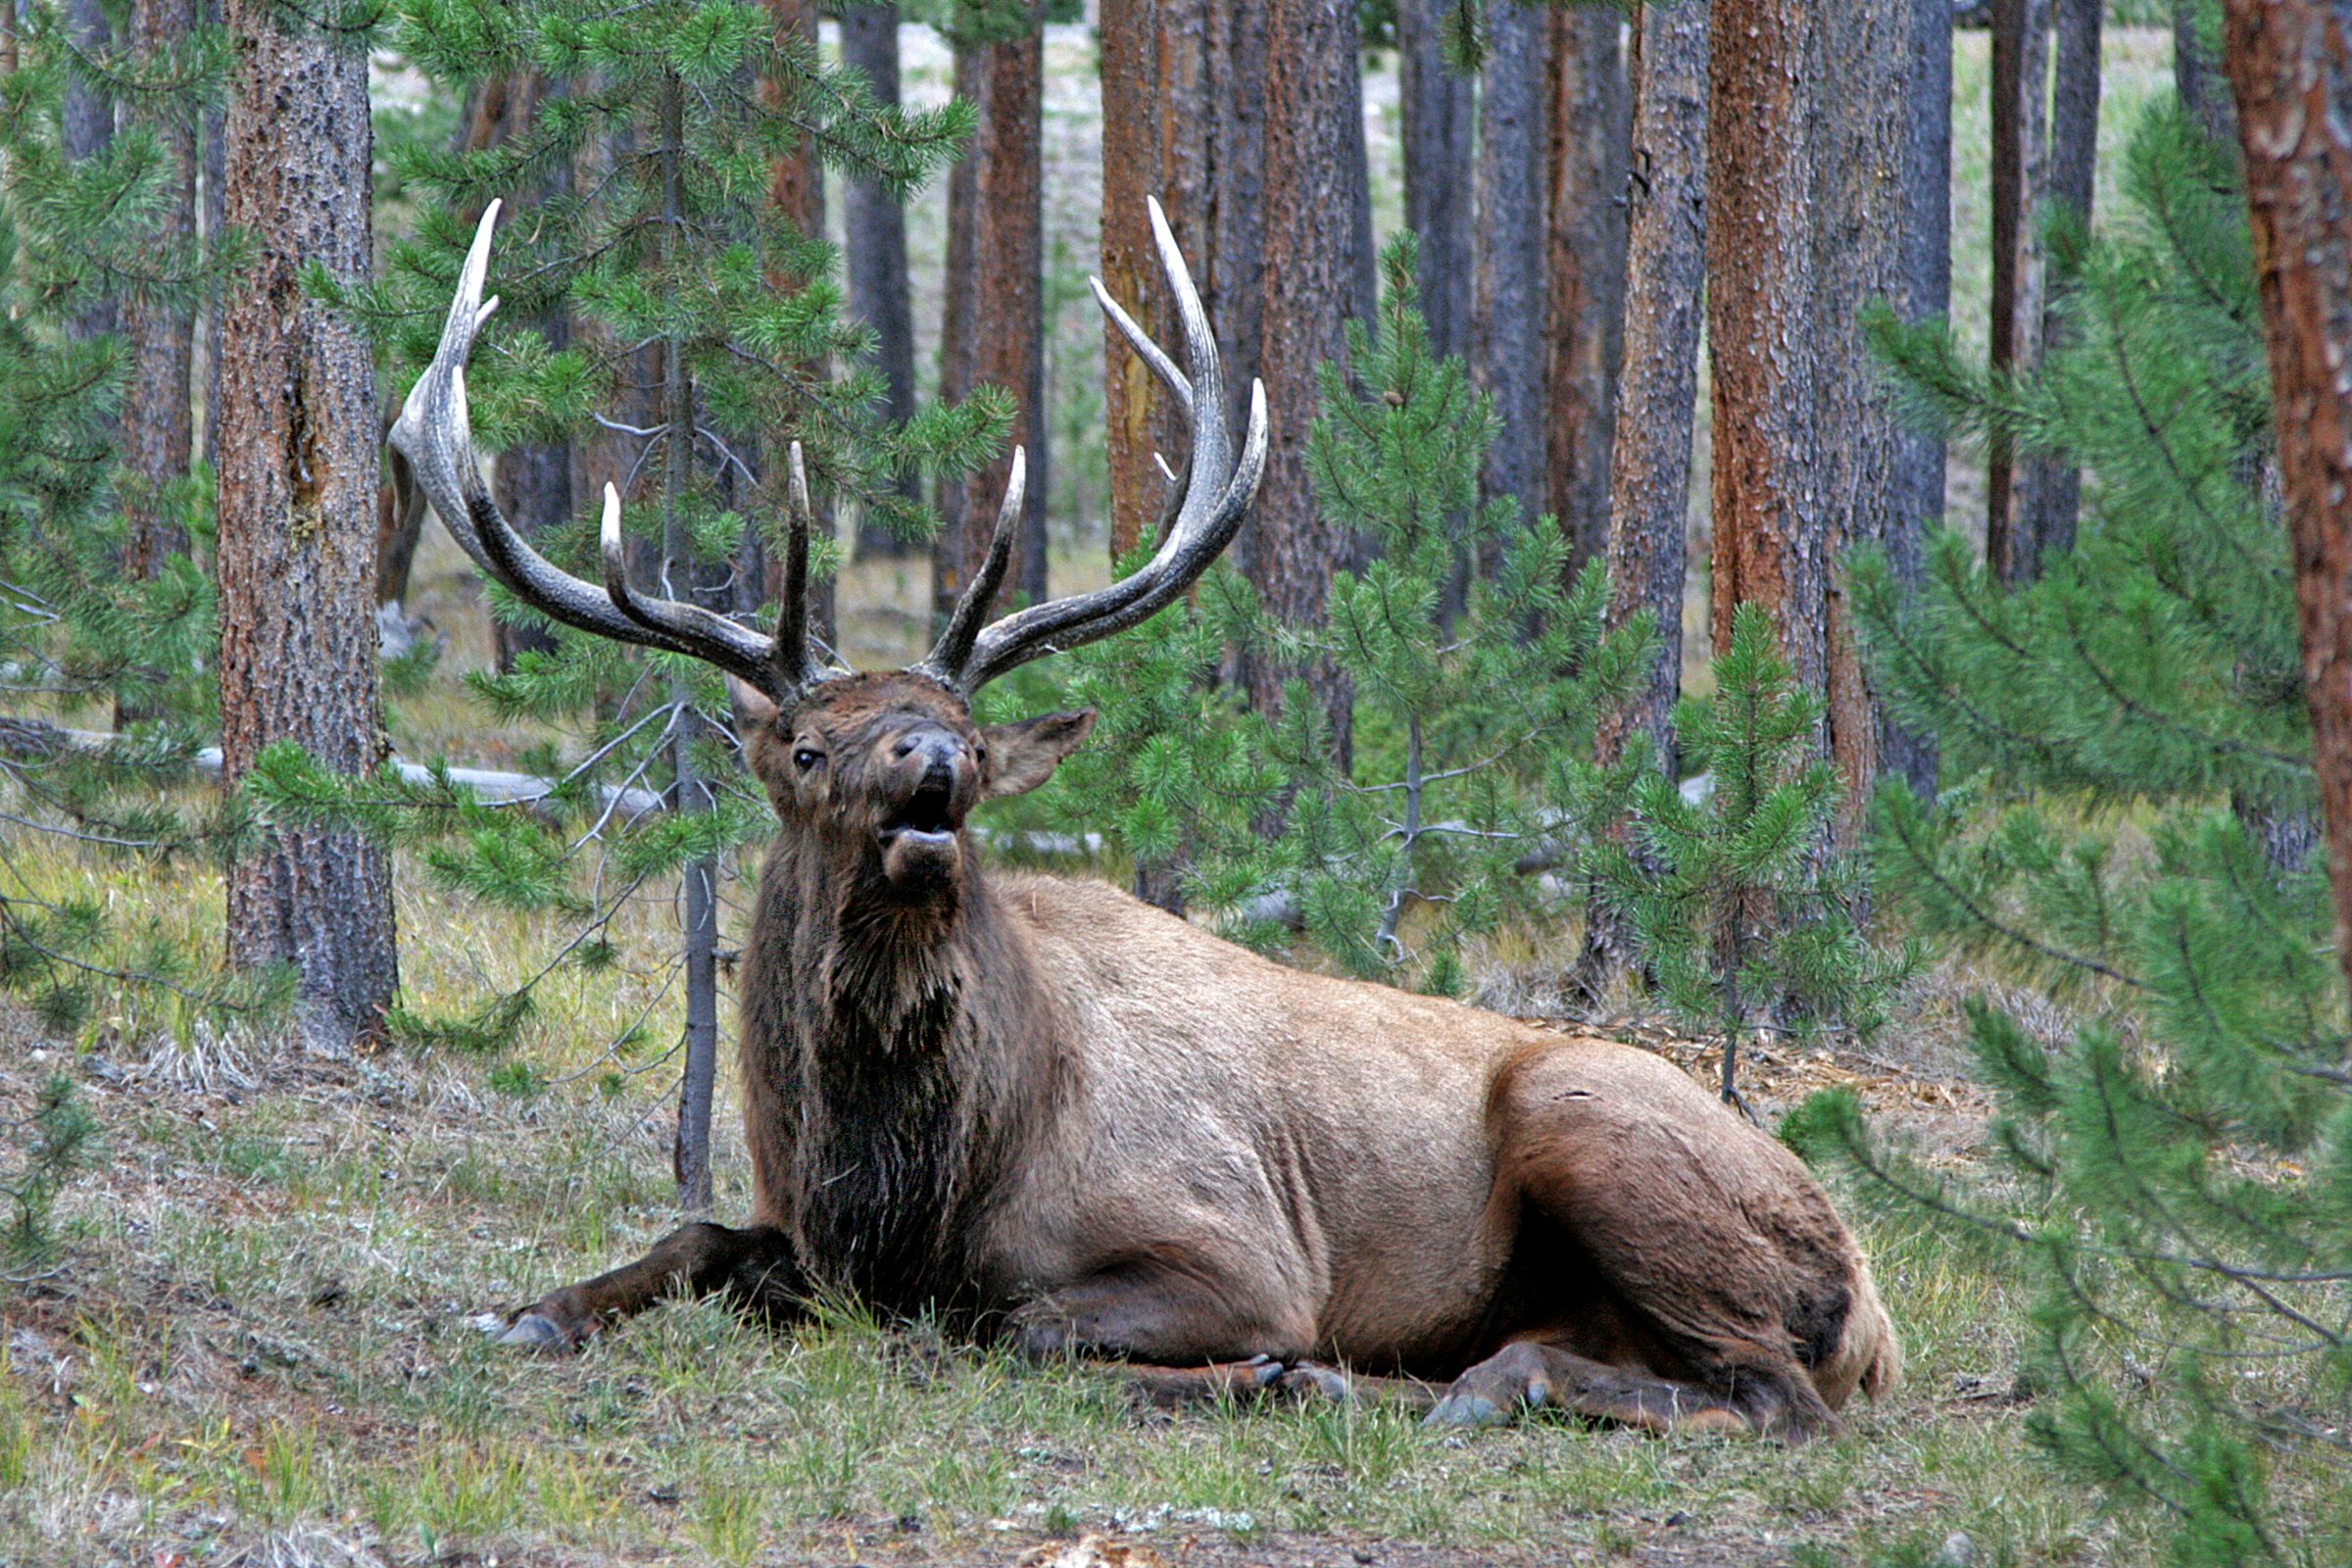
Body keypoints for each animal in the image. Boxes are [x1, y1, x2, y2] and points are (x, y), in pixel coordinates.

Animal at [395, 202, 1909, 1439]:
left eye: (977, 742)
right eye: (809, 746)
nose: (933, 764)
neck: (904, 1194)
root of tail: (1879, 1314)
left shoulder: (1239, 1251)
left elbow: (1017, 1321)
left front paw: (1250, 1364)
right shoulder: (795, 1232)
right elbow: (697, 1236)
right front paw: (537, 1310)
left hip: (1597, 1128)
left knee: (1770, 1396)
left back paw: (1450, 1384)